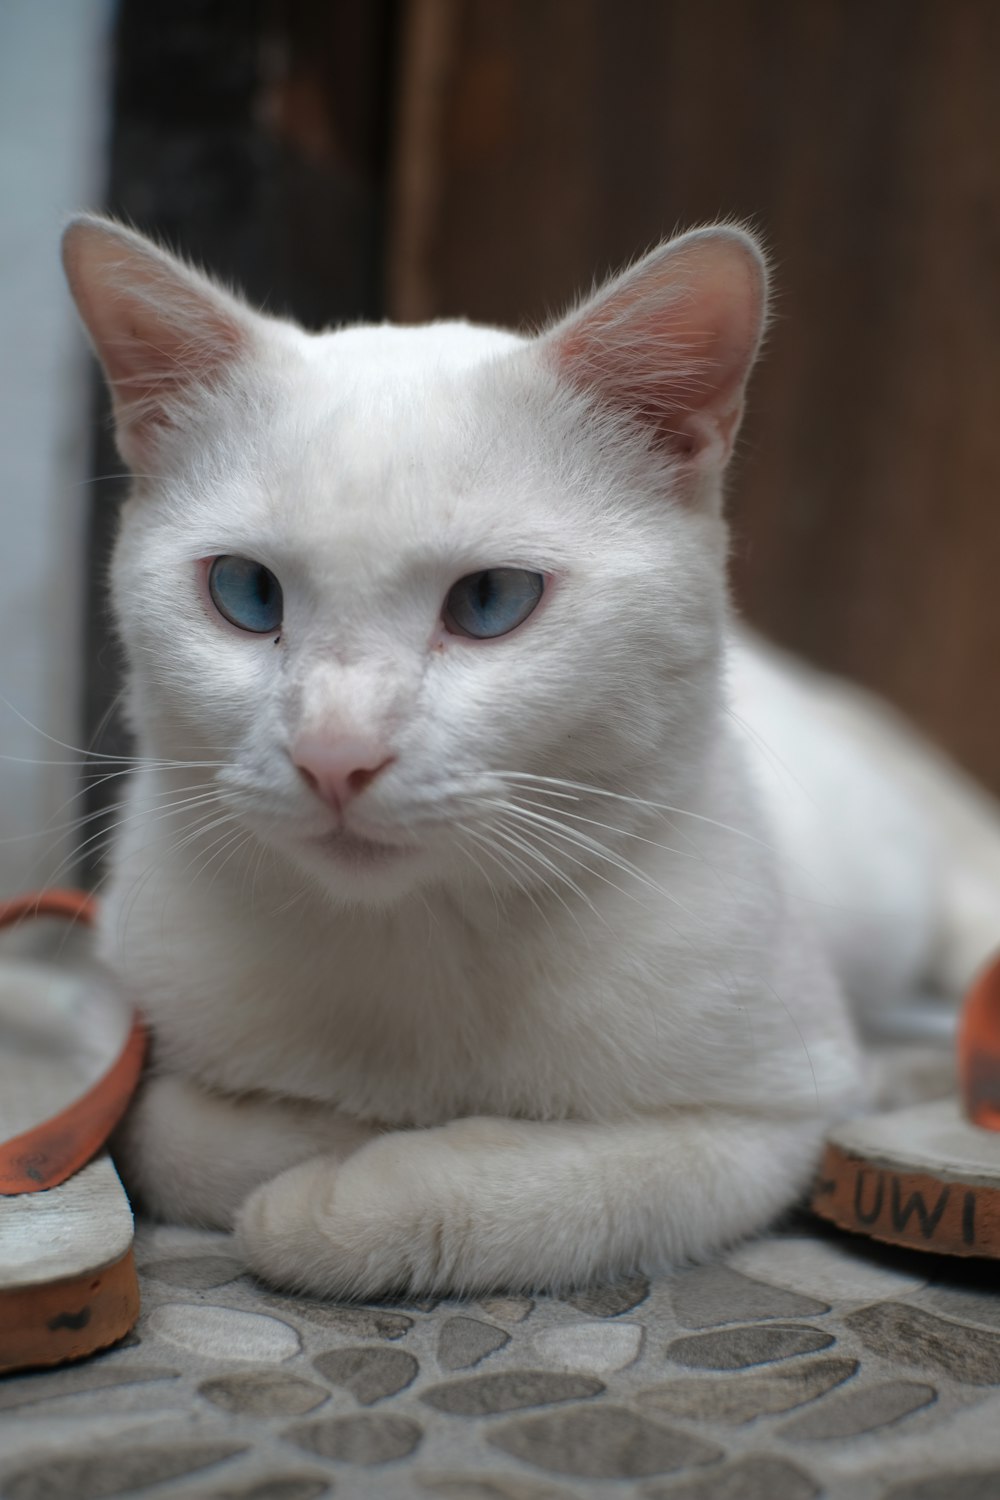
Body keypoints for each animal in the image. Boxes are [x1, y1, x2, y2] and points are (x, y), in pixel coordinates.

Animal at [60, 217, 1000, 1296]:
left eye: (490, 601)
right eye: (246, 593)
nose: (336, 755)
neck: (417, 941)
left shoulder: (771, 1119)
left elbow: (557, 1188)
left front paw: (338, 1200)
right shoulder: (126, 1035)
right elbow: (167, 1135)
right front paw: (330, 1131)